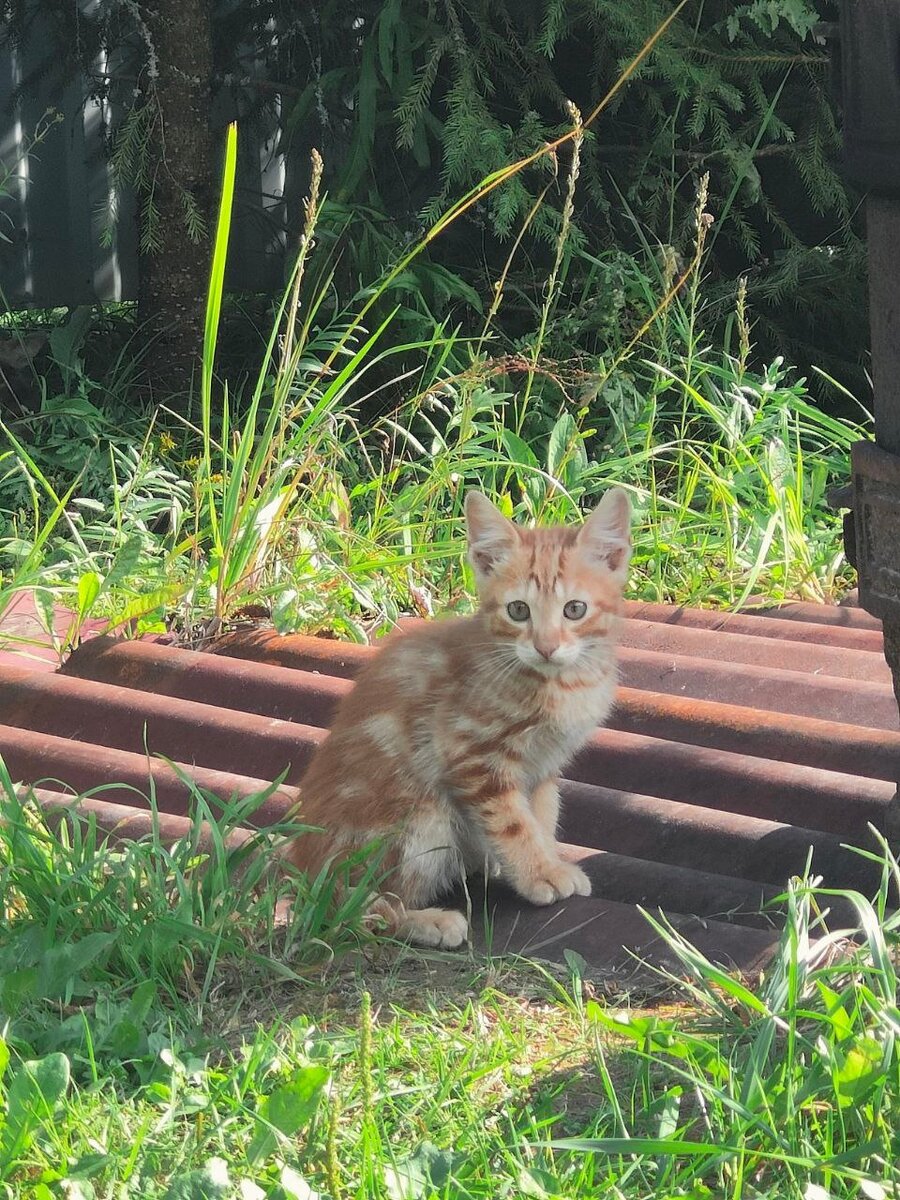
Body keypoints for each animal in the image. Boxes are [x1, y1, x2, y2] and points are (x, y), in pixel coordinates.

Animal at [289, 487, 633, 945]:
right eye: (518, 610)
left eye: (574, 609)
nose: (545, 647)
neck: (561, 683)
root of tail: (302, 869)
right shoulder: (473, 755)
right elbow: (514, 823)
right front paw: (540, 873)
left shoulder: (544, 768)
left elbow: (541, 816)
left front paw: (548, 860)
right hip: (422, 815)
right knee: (347, 909)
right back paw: (427, 921)